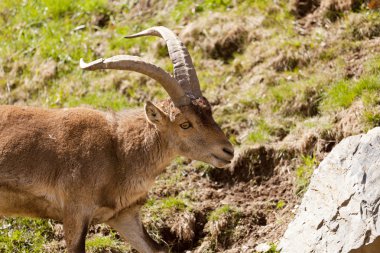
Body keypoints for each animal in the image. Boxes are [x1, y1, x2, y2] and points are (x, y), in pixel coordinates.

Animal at [0, 26, 233, 252]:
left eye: (208, 110)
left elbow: (155, 248)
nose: (228, 151)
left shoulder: (123, 215)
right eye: (185, 124)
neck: (118, 151)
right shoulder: (75, 212)